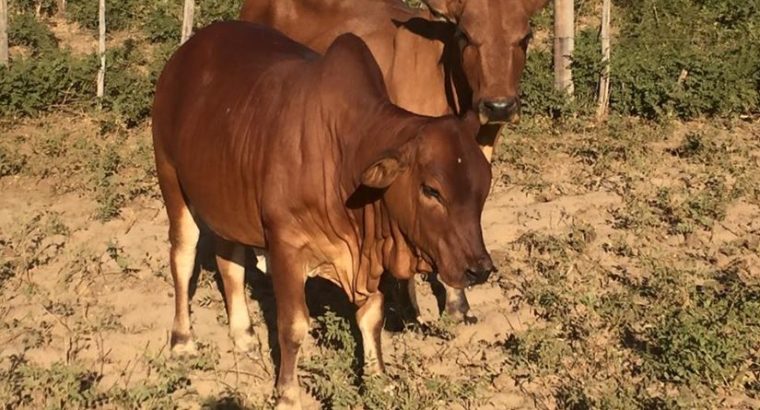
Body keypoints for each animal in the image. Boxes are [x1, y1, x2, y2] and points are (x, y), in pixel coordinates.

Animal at [152, 21, 494, 409]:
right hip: (171, 178)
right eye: (431, 190)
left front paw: (379, 380)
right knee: (183, 257)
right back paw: (182, 340)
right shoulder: (285, 245)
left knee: (229, 260)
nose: (479, 269)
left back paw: (243, 333)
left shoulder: (366, 256)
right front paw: (287, 394)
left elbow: (371, 317)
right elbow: (293, 325)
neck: (345, 156)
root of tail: (184, 55)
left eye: (484, 186)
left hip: (227, 197)